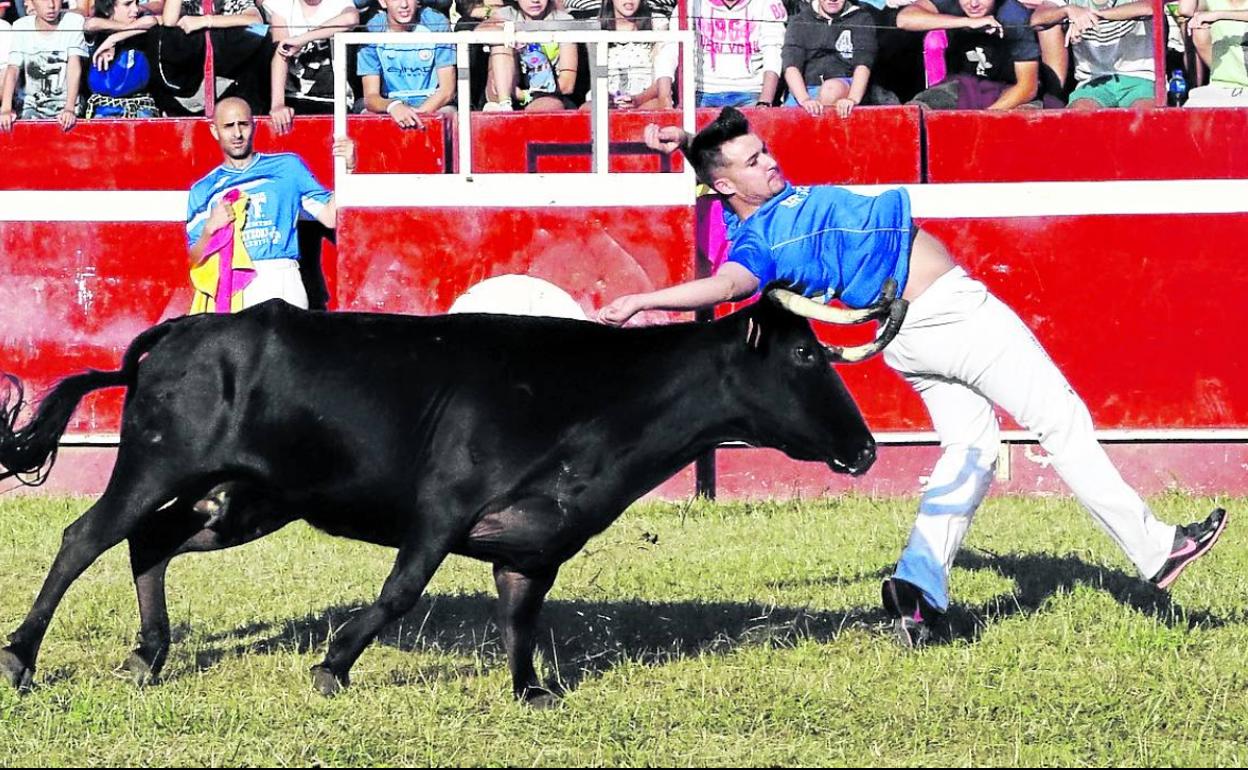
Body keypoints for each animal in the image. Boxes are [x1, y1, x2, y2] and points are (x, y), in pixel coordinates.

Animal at [0, 287, 905, 704]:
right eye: (805, 357)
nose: (865, 449)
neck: (590, 400)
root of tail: (179, 332)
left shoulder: (535, 545)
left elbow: (520, 617)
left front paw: (532, 691)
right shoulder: (439, 513)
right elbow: (399, 593)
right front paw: (331, 668)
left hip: (247, 501)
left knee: (148, 543)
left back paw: (147, 658)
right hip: (157, 466)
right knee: (84, 539)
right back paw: (21, 657)